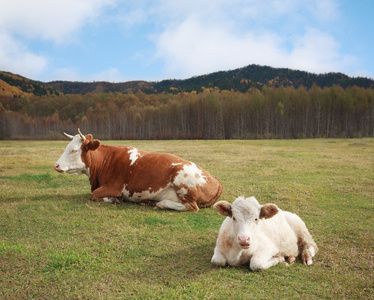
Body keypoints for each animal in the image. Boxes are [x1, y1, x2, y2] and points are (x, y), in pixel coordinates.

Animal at [53, 129, 222, 211]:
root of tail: (216, 180)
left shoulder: (114, 187)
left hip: (182, 179)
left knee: (191, 207)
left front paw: (114, 199)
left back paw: (162, 204)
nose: (56, 165)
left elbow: (93, 195)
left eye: (74, 150)